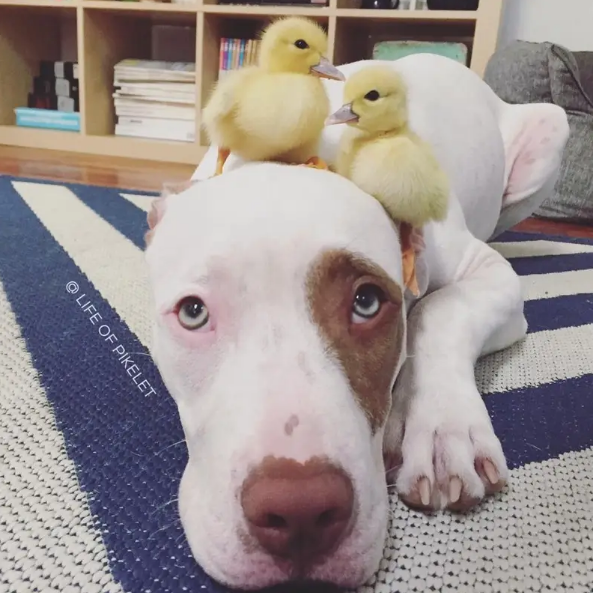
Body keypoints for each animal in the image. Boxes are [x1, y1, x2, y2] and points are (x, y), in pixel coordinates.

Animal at [144, 54, 569, 590]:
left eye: (366, 303)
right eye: (193, 312)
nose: (300, 511)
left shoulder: (491, 276)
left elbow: (439, 309)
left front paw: (443, 430)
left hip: (550, 130)